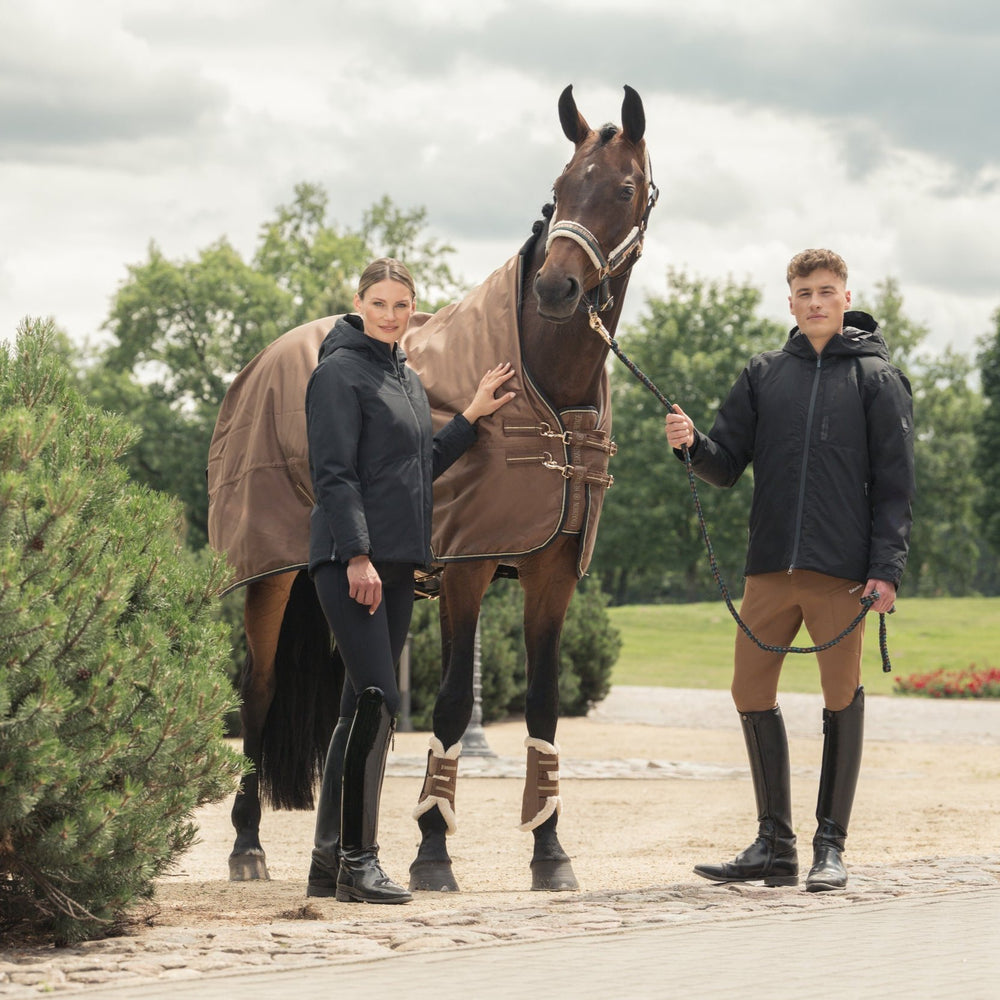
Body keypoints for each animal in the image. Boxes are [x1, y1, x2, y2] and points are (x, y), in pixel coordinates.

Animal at [206, 84, 656, 887]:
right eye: (560, 186)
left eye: (625, 189)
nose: (557, 287)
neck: (545, 387)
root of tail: (259, 363)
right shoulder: (467, 568)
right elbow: (448, 705)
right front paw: (432, 850)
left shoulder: (551, 573)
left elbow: (543, 706)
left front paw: (550, 851)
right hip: (272, 578)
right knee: (257, 695)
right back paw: (248, 846)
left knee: (353, 705)